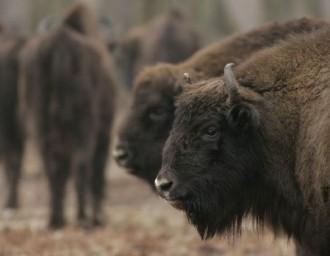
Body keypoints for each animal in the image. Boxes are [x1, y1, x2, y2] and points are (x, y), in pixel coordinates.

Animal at [19, 3, 116, 228]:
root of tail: (61, 45)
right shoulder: (104, 136)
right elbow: (96, 175)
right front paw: (98, 217)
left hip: (41, 128)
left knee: (52, 171)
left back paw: (56, 219)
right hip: (85, 129)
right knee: (81, 168)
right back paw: (83, 217)